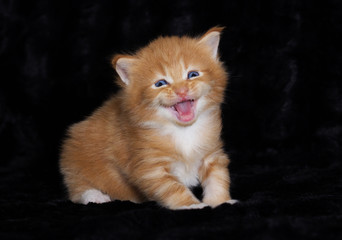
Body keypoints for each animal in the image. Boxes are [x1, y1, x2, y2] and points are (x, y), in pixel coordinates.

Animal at [59, 27, 235, 209]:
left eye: (192, 74)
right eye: (160, 83)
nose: (181, 91)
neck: (183, 130)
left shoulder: (212, 153)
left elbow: (218, 178)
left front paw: (220, 201)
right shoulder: (149, 167)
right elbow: (173, 188)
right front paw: (191, 205)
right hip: (77, 162)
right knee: (78, 189)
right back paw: (95, 196)